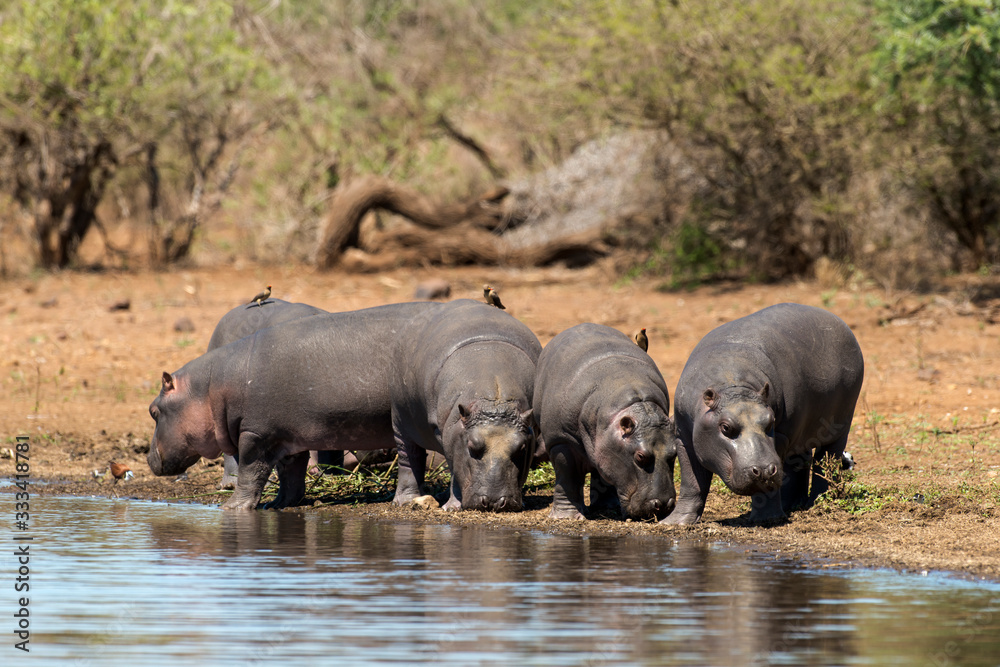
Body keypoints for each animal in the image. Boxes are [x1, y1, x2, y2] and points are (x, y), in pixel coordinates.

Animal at [391, 299, 540, 511]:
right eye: (471, 446)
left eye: (521, 448)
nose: (494, 502)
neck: (495, 401)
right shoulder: (450, 437)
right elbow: (455, 472)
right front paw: (452, 508)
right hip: (400, 421)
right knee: (408, 458)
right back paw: (405, 501)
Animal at [533, 323, 677, 521]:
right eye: (640, 456)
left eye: (675, 453)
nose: (663, 504)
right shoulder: (561, 441)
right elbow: (567, 478)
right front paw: (566, 517)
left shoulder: (609, 445)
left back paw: (606, 507)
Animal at [664, 303, 864, 524]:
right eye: (725, 427)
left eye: (770, 422)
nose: (764, 471)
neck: (733, 385)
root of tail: (839, 321)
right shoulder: (684, 438)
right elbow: (692, 482)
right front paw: (676, 522)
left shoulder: (782, 433)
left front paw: (767, 519)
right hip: (802, 429)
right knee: (801, 461)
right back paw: (794, 505)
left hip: (840, 425)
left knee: (826, 460)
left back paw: (819, 502)